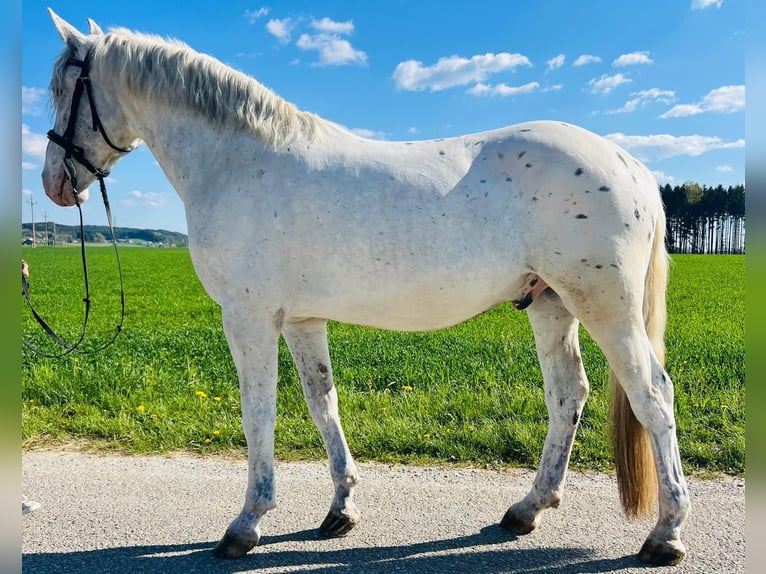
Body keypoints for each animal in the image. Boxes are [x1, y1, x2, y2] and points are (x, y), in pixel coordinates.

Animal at [41, 10, 689, 566]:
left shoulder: (248, 317)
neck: (239, 161)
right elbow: (321, 404)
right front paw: (341, 508)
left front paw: (247, 523)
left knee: (653, 397)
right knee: (568, 395)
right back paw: (527, 509)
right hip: (551, 304)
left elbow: (259, 411)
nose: (54, 183)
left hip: (606, 309)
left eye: (63, 88)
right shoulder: (302, 319)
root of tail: (628, 162)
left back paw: (666, 534)